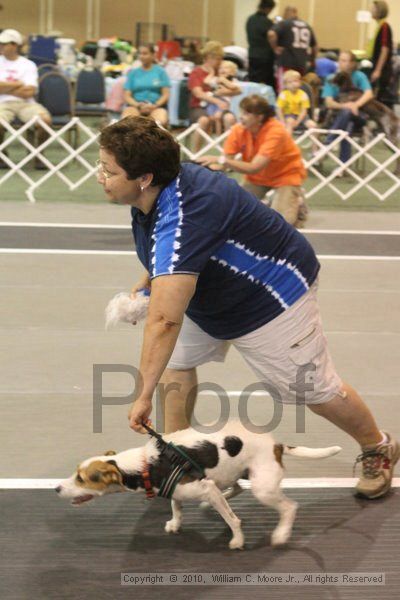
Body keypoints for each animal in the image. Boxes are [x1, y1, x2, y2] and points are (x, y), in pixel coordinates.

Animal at [54, 420, 340, 552]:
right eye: (76, 473)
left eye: (82, 478)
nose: (56, 489)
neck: (146, 464)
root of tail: (276, 445)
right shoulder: (181, 490)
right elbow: (176, 507)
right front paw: (175, 524)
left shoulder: (205, 487)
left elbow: (234, 520)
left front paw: (237, 539)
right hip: (232, 474)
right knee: (235, 489)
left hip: (263, 487)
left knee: (289, 507)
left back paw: (281, 534)